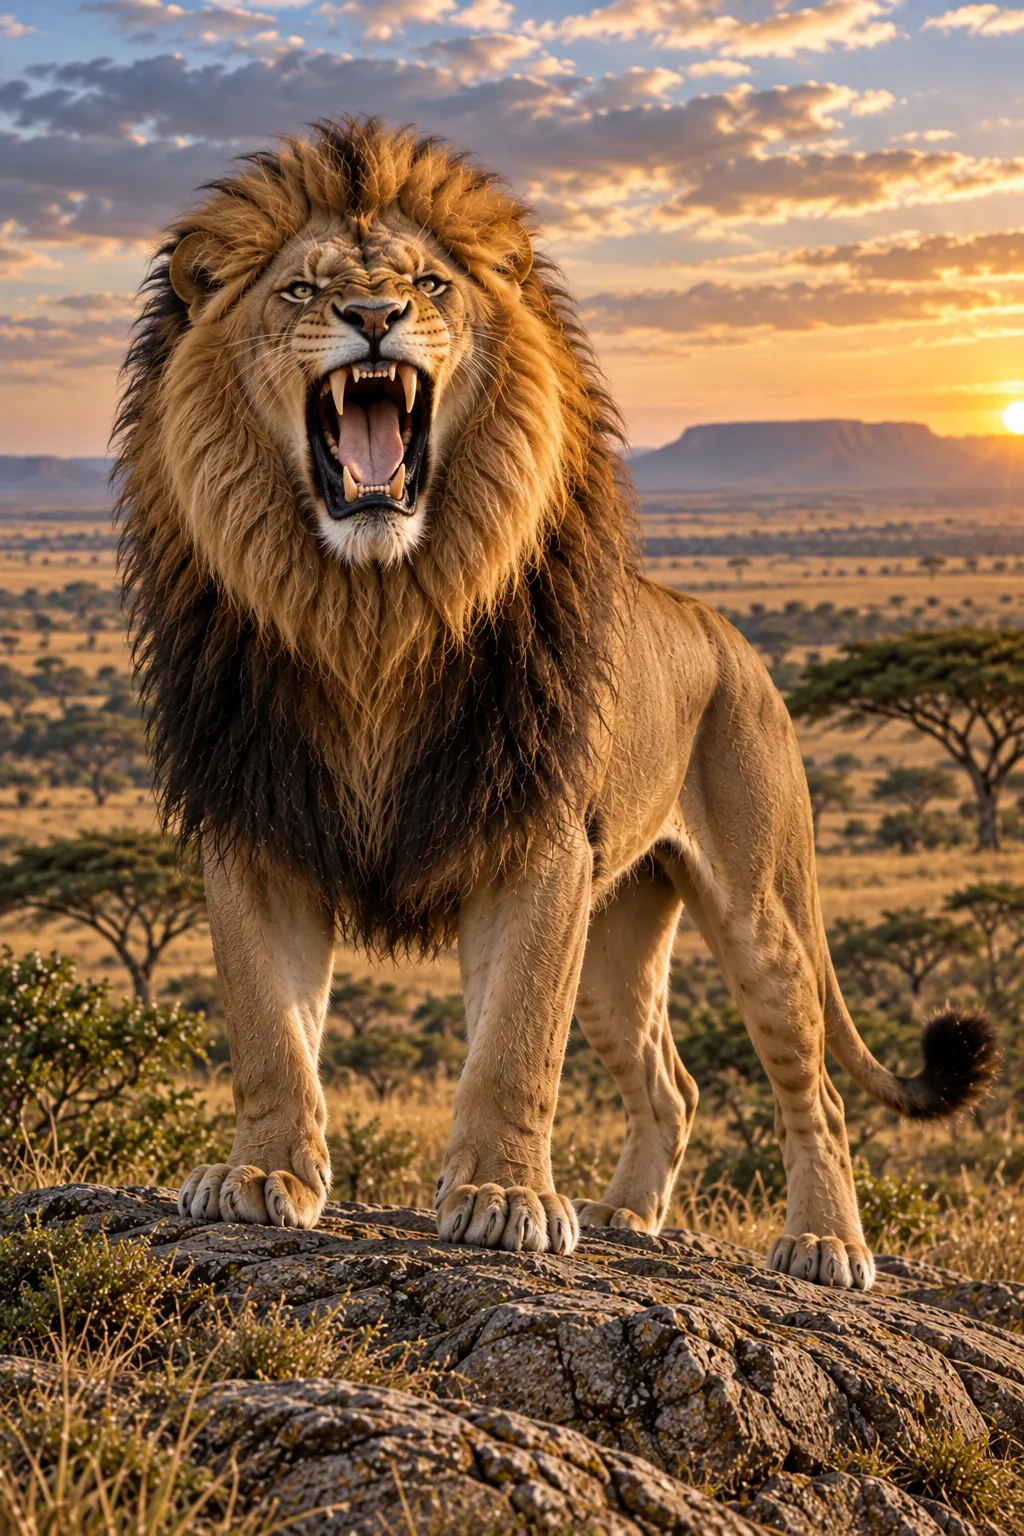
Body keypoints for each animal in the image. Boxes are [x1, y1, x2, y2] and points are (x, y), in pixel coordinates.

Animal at [116, 119, 996, 1289]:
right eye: (302, 288)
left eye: (429, 283)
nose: (371, 316)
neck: (371, 613)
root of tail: (731, 639)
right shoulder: (258, 824)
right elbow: (269, 1029)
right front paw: (262, 1176)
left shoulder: (537, 838)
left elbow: (516, 1045)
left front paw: (503, 1200)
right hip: (622, 932)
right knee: (674, 1084)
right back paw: (629, 1218)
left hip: (759, 907)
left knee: (815, 1092)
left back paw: (823, 1245)